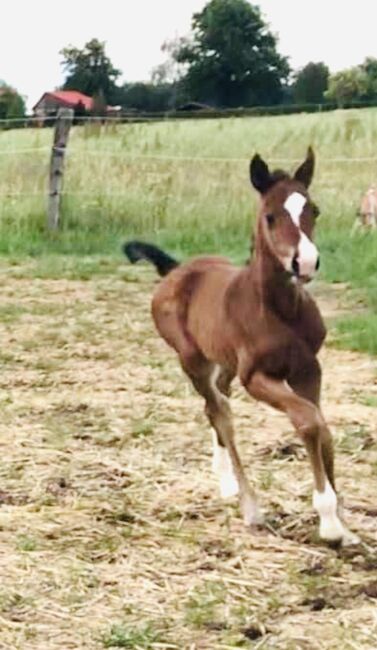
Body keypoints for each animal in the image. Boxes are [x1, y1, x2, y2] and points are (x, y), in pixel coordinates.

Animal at [124, 149, 358, 544]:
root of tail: (175, 270)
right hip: (192, 359)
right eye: (270, 215)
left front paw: (342, 520)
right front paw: (328, 521)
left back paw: (227, 481)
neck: (280, 310)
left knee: (217, 402)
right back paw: (248, 503)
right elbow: (309, 422)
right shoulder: (257, 377)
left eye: (314, 210)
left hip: (225, 362)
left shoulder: (309, 369)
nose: (306, 262)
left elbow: (322, 426)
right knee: (219, 411)